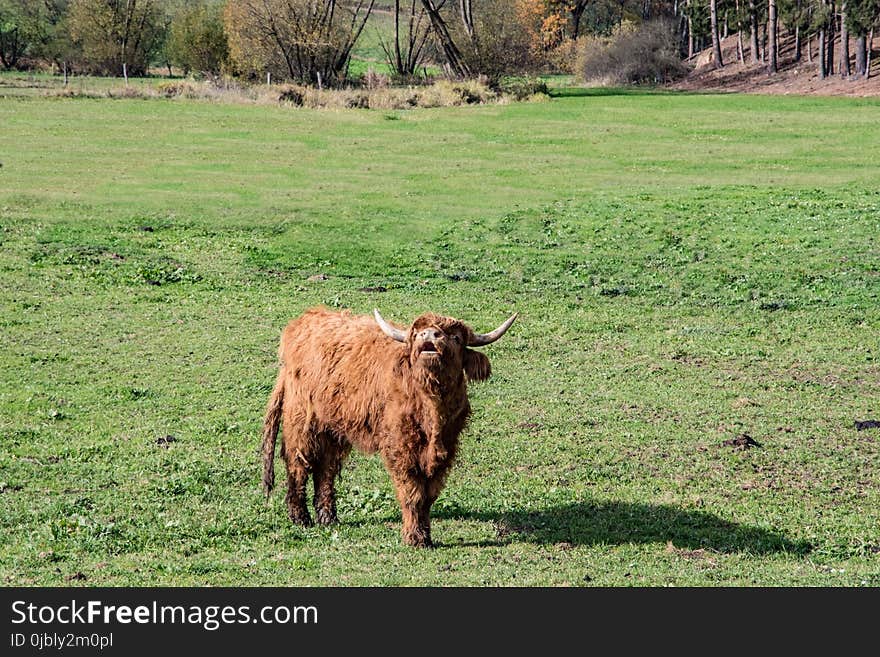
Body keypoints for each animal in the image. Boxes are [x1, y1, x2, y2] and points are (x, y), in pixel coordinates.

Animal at [262, 308, 516, 548]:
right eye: (416, 333)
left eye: (455, 337)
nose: (429, 335)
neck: (431, 409)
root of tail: (303, 321)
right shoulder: (401, 448)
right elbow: (412, 493)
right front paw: (414, 538)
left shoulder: (446, 448)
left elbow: (429, 495)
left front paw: (426, 535)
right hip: (302, 421)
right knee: (298, 465)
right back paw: (300, 518)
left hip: (332, 429)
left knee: (326, 468)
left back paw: (328, 518)